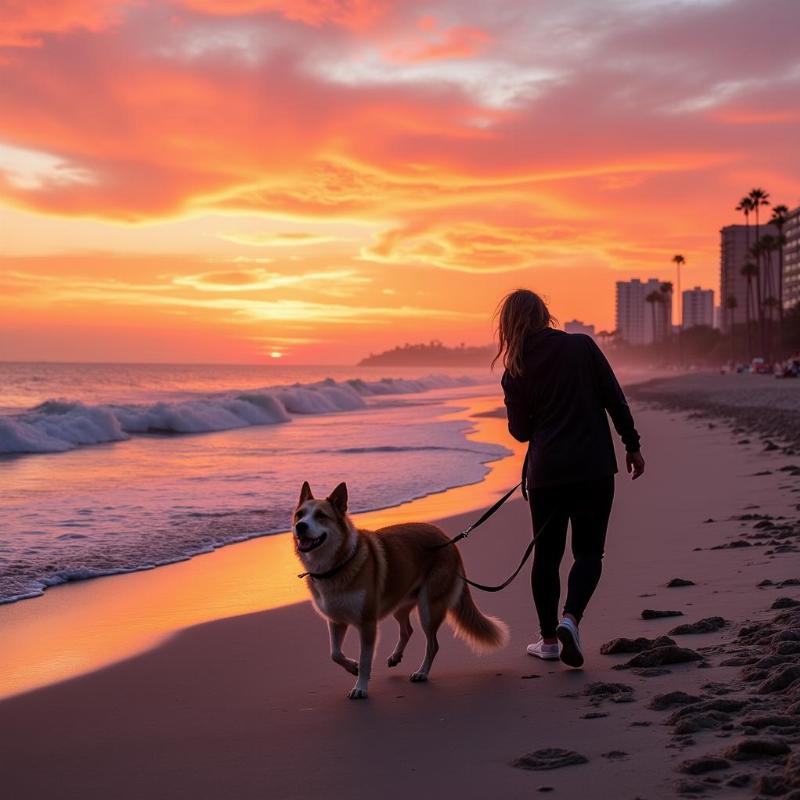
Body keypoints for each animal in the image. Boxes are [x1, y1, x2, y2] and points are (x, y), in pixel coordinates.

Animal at [292, 482, 506, 700]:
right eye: (300, 514)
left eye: (321, 515)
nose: (300, 526)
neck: (339, 564)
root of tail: (448, 540)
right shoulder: (336, 620)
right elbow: (334, 654)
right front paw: (353, 667)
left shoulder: (367, 624)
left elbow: (366, 659)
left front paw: (360, 686)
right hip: (401, 603)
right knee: (407, 630)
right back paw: (396, 657)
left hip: (428, 607)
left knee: (433, 644)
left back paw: (422, 673)